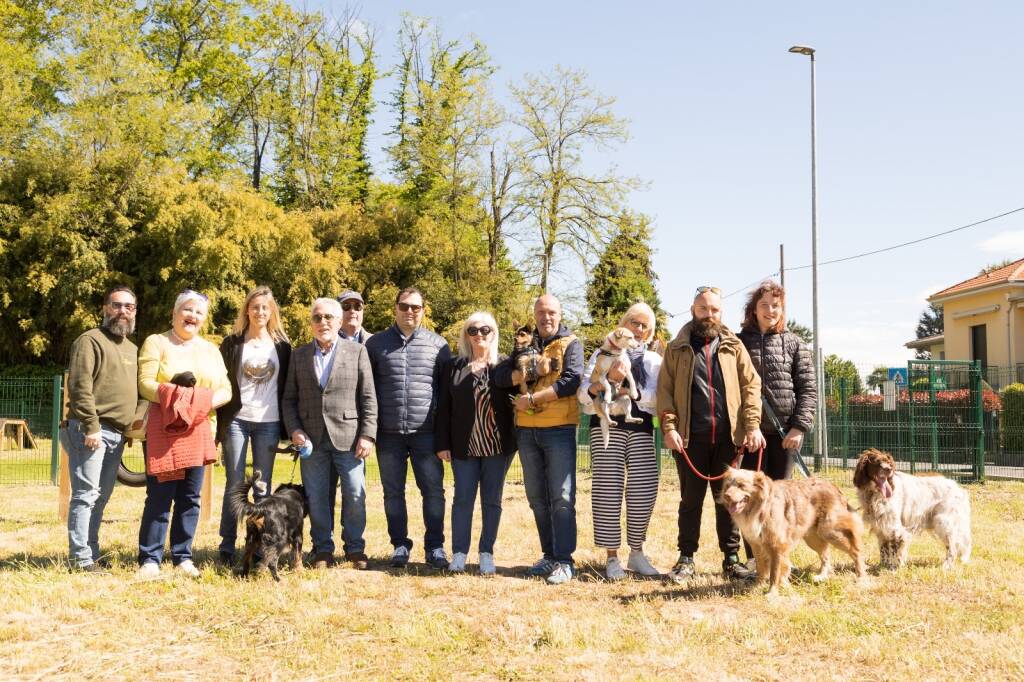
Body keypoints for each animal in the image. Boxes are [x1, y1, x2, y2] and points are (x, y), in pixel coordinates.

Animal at [720, 464, 864, 593]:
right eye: (727, 486)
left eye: (741, 485)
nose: (726, 495)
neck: (760, 509)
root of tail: (833, 486)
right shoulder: (757, 545)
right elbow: (761, 568)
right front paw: (757, 587)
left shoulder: (777, 545)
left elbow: (774, 572)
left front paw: (772, 593)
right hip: (813, 538)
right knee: (826, 555)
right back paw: (821, 576)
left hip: (830, 531)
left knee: (856, 551)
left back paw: (861, 579)